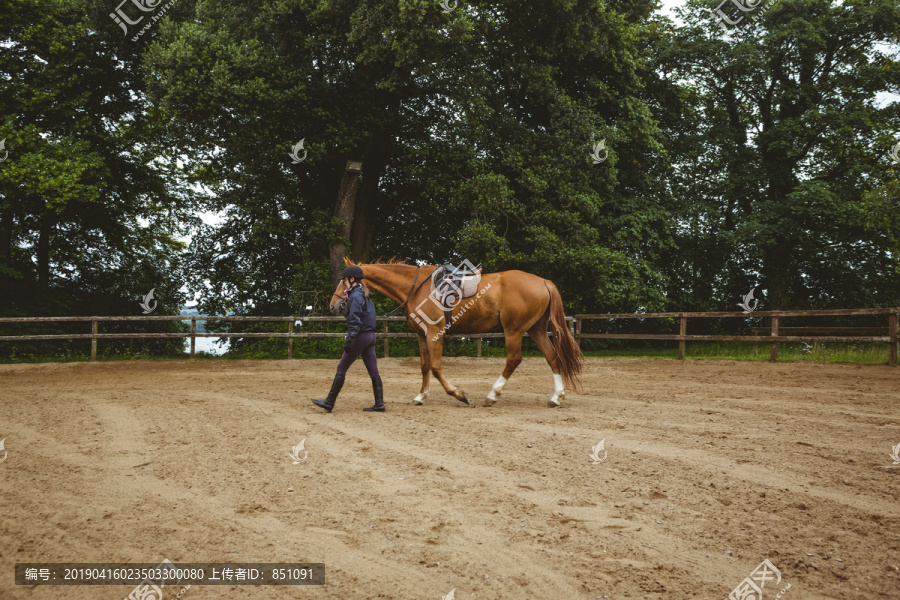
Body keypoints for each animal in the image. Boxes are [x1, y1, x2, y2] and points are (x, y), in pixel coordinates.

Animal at [330, 258, 584, 408]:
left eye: (345, 282)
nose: (333, 306)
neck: (416, 288)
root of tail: (543, 281)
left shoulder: (435, 333)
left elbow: (435, 367)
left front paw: (459, 394)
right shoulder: (422, 335)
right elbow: (424, 366)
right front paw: (421, 396)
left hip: (514, 330)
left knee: (514, 359)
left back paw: (492, 395)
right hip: (536, 329)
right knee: (552, 357)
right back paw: (556, 397)